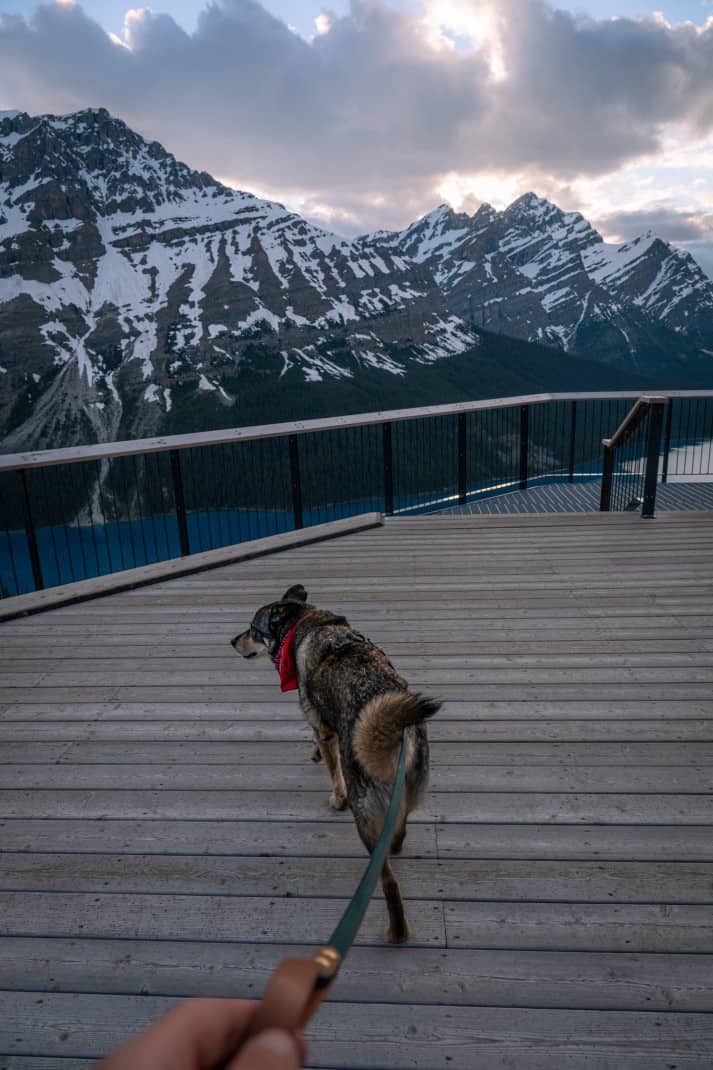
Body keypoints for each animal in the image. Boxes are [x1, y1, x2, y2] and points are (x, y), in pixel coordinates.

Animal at [230, 586, 436, 945]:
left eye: (253, 630)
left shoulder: (322, 727)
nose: (232, 641)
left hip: (363, 810)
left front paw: (334, 797)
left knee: (387, 880)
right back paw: (395, 845)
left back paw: (397, 930)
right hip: (408, 789)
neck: (305, 623)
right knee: (399, 826)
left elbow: (331, 769)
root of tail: (394, 730)